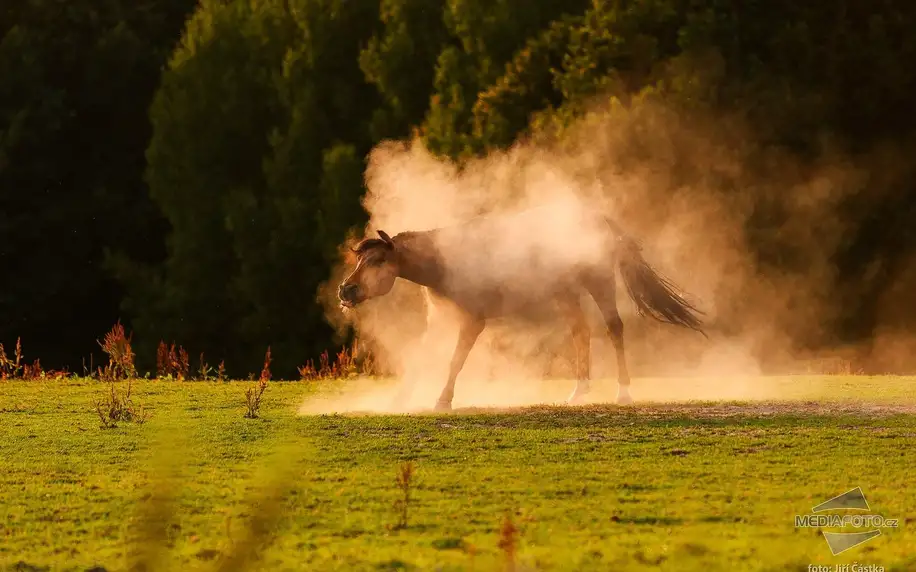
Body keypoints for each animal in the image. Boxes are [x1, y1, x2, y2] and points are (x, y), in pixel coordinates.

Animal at [336, 204, 700, 412]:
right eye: (360, 259)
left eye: (378, 260)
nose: (346, 289)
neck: (445, 261)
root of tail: (598, 219)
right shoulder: (439, 320)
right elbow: (420, 359)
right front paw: (399, 400)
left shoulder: (473, 321)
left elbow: (455, 361)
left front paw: (443, 400)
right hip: (566, 292)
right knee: (580, 331)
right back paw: (578, 392)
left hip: (599, 283)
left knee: (613, 328)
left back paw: (623, 393)